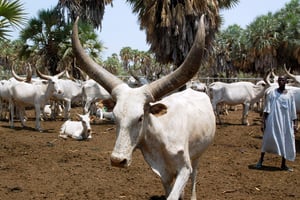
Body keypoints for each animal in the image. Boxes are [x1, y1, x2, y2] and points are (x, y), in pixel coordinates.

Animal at [72, 16, 214, 200]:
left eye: (140, 117)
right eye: (115, 117)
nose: (118, 160)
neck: (161, 138)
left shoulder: (184, 168)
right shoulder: (163, 174)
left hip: (197, 156)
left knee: (195, 174)